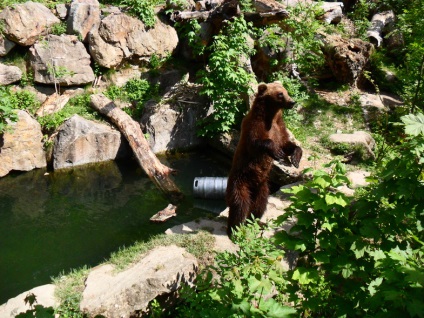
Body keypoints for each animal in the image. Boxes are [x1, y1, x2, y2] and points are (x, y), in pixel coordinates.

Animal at [225, 82, 302, 236]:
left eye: (286, 91)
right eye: (280, 94)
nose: (292, 102)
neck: (270, 116)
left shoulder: (279, 128)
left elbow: (287, 144)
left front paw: (295, 158)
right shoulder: (253, 127)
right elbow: (258, 142)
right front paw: (277, 152)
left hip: (263, 187)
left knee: (259, 205)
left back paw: (257, 222)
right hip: (240, 182)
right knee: (240, 204)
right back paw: (235, 230)